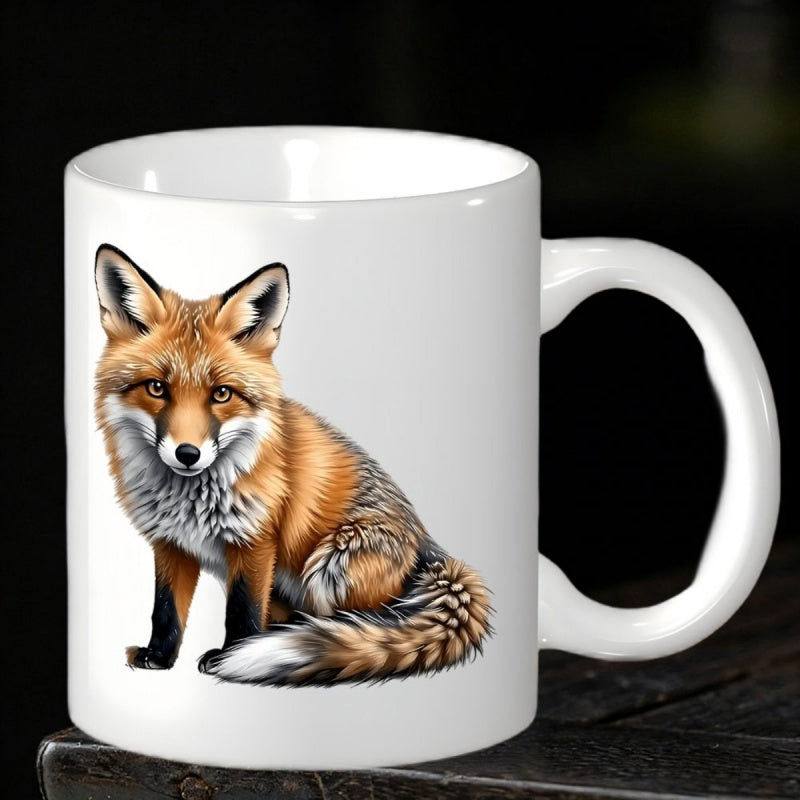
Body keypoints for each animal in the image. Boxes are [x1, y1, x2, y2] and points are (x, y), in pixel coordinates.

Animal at [93, 244, 491, 685]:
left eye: (221, 394)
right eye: (157, 388)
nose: (187, 454)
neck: (189, 500)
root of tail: (428, 545)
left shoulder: (255, 539)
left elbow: (243, 609)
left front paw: (233, 656)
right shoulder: (171, 542)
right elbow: (166, 609)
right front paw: (160, 656)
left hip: (331, 567)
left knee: (365, 621)